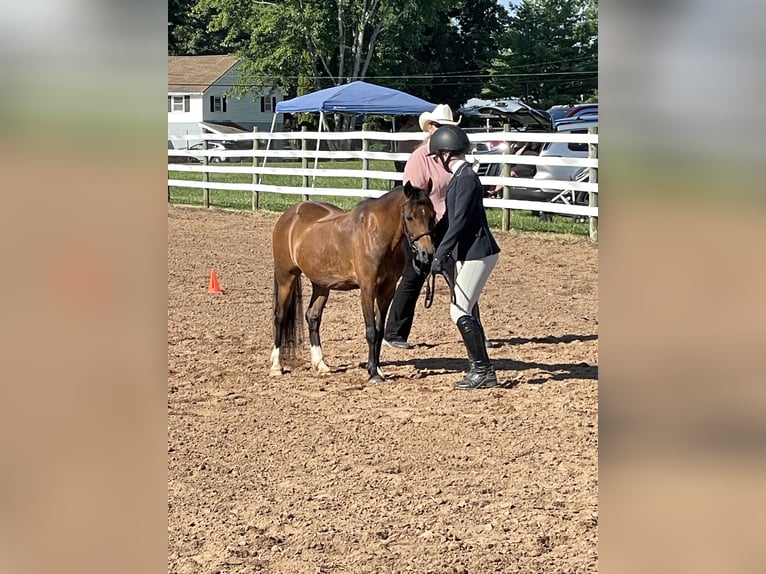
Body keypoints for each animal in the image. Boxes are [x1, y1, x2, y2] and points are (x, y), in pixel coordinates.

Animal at [272, 182, 436, 384]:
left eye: (433, 215)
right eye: (410, 217)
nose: (426, 254)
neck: (376, 234)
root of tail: (290, 214)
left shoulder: (387, 290)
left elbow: (379, 330)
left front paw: (378, 369)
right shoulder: (367, 288)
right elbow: (371, 330)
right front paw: (373, 374)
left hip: (321, 284)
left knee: (313, 316)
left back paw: (321, 365)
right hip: (286, 277)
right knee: (279, 316)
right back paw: (276, 366)